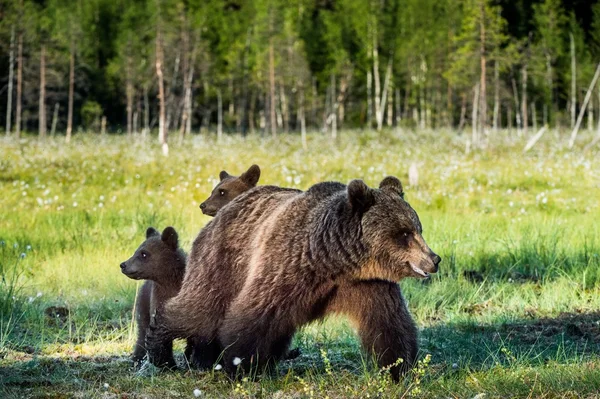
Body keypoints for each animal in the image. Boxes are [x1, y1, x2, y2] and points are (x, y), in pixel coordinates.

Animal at [147, 178, 438, 382]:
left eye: (418, 228)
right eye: (404, 233)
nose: (434, 259)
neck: (334, 261)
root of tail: (220, 214)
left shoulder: (367, 285)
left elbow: (389, 324)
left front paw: (399, 369)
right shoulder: (287, 267)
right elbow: (253, 316)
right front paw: (240, 367)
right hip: (222, 263)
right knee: (200, 309)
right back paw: (162, 351)